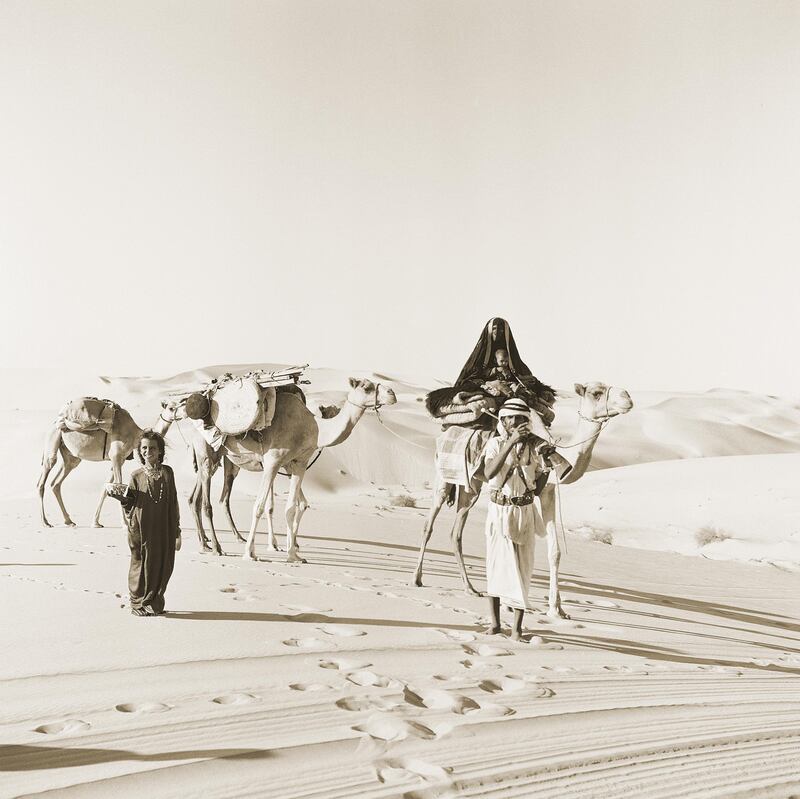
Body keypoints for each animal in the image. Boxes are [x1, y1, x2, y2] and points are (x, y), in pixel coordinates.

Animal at [36, 400, 184, 532]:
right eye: (171, 408)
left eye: (180, 403)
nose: (183, 412)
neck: (135, 435)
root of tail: (55, 422)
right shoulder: (116, 456)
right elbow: (119, 486)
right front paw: (125, 524)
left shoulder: (119, 460)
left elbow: (105, 489)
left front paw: (96, 522)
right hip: (53, 441)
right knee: (42, 480)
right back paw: (45, 522)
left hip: (71, 457)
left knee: (56, 483)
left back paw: (69, 521)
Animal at [187, 380, 396, 564]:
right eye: (367, 387)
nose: (392, 394)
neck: (312, 427)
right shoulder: (273, 461)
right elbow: (260, 506)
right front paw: (250, 553)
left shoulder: (298, 464)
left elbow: (293, 507)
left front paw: (293, 554)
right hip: (206, 453)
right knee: (206, 502)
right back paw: (215, 547)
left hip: (228, 460)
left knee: (210, 498)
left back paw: (213, 542)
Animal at [412, 382, 632, 620]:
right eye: (596, 393)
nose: (627, 397)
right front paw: (516, 603)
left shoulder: (548, 492)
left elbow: (554, 551)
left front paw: (557, 609)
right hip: (443, 477)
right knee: (428, 525)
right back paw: (417, 578)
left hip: (471, 487)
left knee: (456, 531)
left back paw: (470, 588)